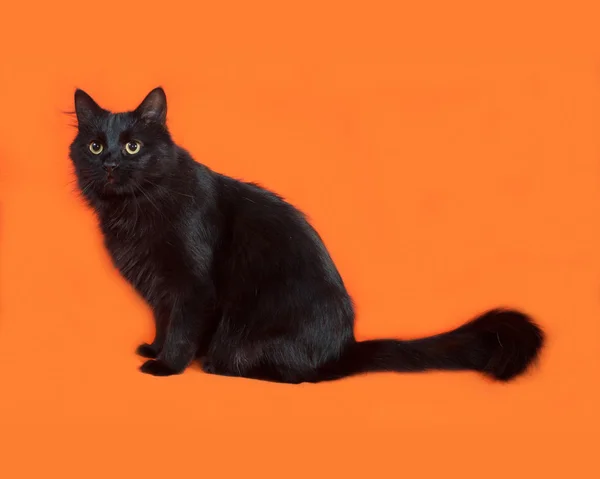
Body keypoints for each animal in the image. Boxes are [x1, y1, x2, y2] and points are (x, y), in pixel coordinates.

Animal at [69, 88, 544, 384]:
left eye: (133, 146)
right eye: (96, 146)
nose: (110, 164)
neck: (134, 210)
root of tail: (344, 348)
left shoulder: (191, 284)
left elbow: (182, 327)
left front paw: (167, 365)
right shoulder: (160, 288)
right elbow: (164, 320)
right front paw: (154, 349)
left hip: (249, 336)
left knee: (295, 374)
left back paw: (220, 366)